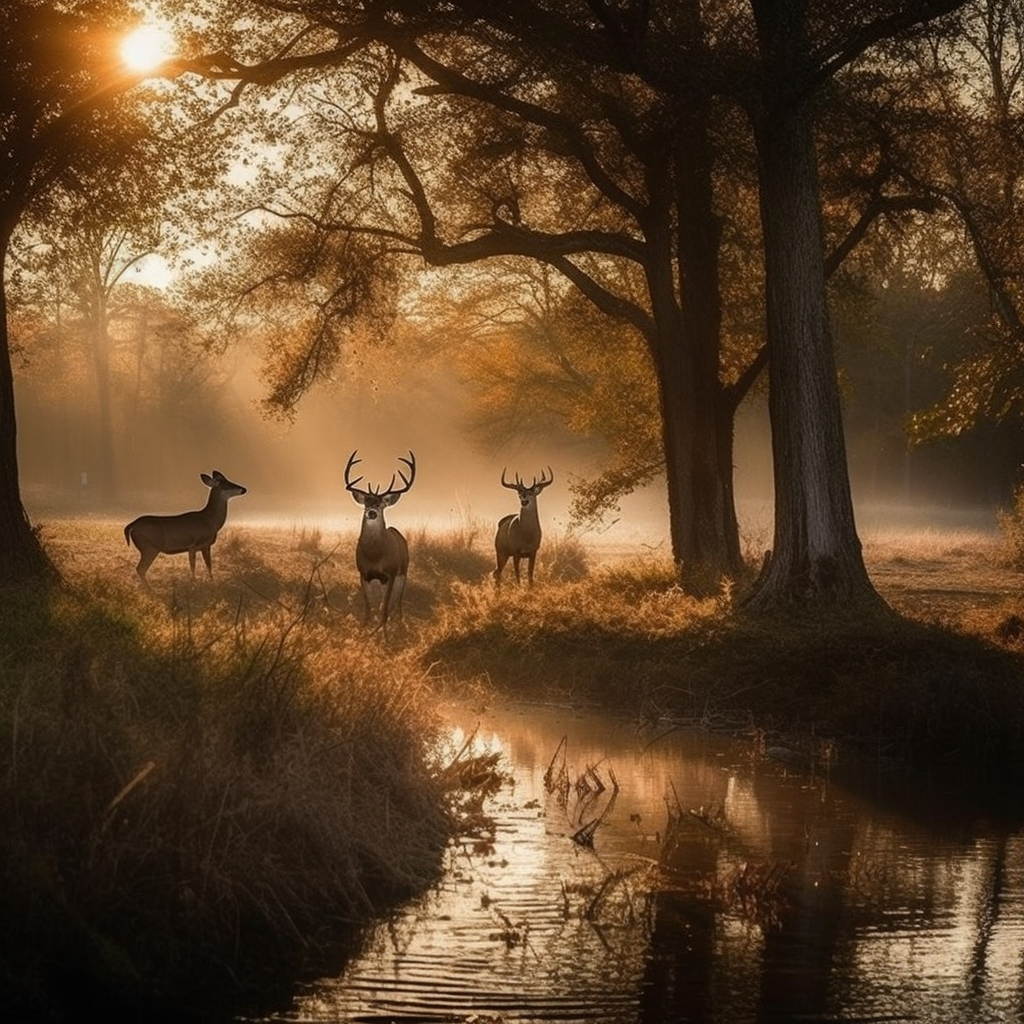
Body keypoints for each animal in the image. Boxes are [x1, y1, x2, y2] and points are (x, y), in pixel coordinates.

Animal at [344, 450, 415, 630]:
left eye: (381, 504)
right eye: (366, 503)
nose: (371, 512)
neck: (375, 555)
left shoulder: (390, 573)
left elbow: (384, 608)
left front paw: (382, 632)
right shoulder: (363, 573)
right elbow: (369, 609)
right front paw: (365, 629)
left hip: (403, 572)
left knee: (397, 602)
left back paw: (399, 622)